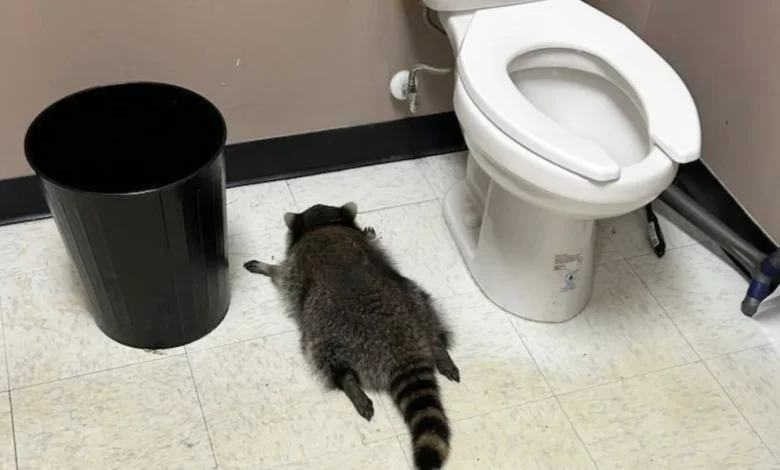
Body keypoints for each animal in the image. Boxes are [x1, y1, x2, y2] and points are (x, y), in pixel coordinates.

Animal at [244, 202, 460, 470]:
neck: (324, 224)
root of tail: (401, 347)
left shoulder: (295, 266)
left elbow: (282, 274)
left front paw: (267, 267)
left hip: (327, 330)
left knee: (322, 355)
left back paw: (348, 382)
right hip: (415, 299)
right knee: (428, 311)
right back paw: (439, 347)